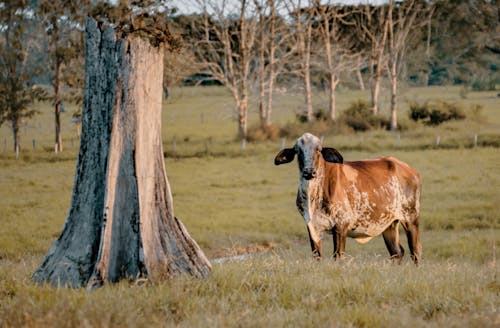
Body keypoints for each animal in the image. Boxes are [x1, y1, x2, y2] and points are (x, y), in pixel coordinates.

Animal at [274, 133, 422, 264]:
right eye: (298, 151)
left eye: (319, 150)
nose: (309, 171)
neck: (313, 196)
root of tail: (409, 170)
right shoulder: (312, 227)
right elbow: (317, 257)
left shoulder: (341, 225)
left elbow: (338, 256)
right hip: (389, 224)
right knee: (397, 252)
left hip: (410, 217)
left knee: (415, 250)